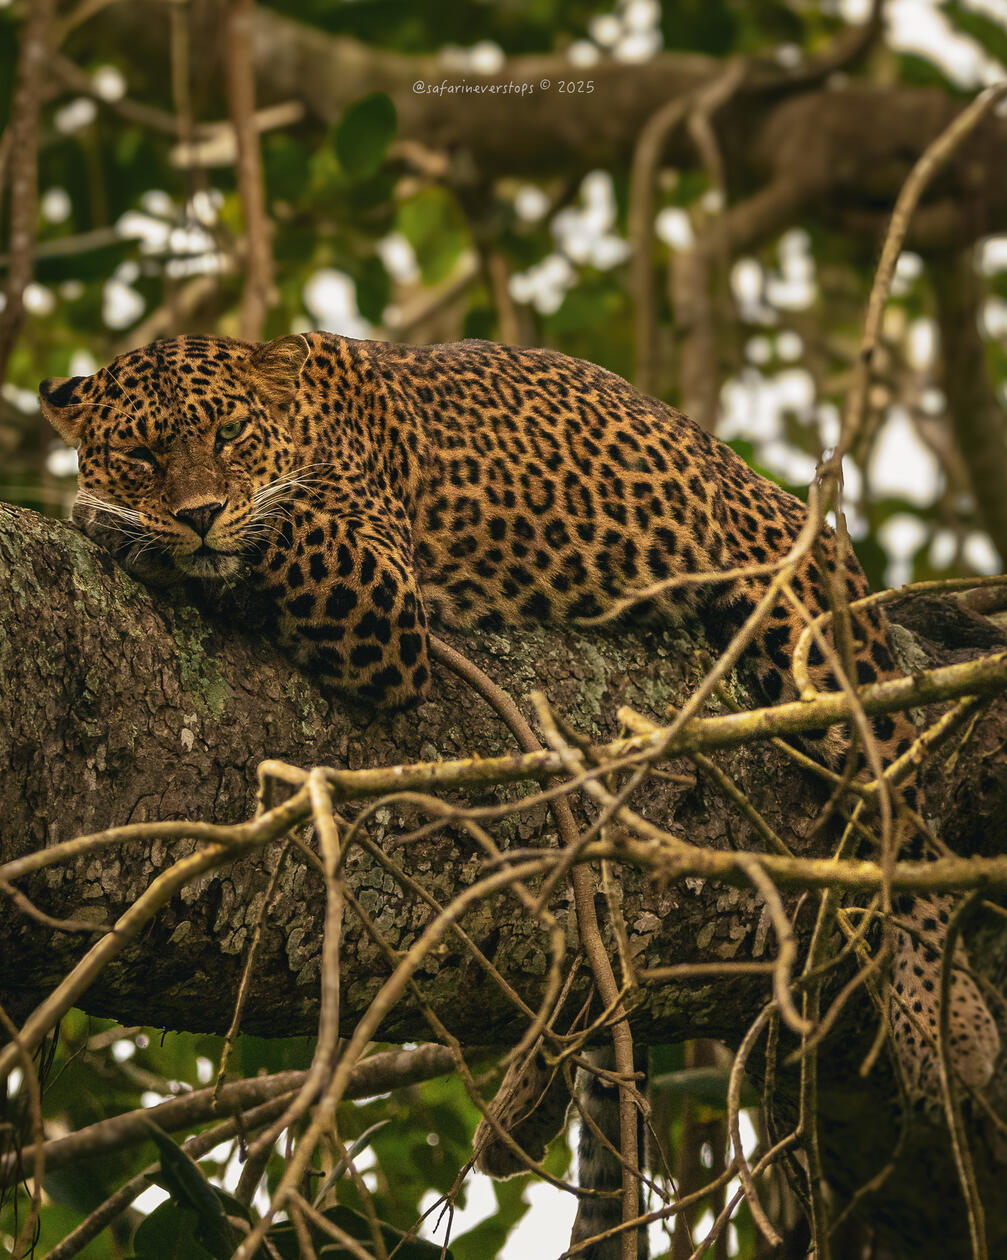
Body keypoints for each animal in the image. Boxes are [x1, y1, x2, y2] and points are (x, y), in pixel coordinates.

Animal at [40, 331, 1000, 1256]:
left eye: (231, 434)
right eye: (137, 454)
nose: (197, 514)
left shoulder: (377, 601)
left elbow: (272, 534)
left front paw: (116, 526)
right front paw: (124, 517)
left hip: (810, 637)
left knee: (902, 812)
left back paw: (946, 1023)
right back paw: (524, 1112)